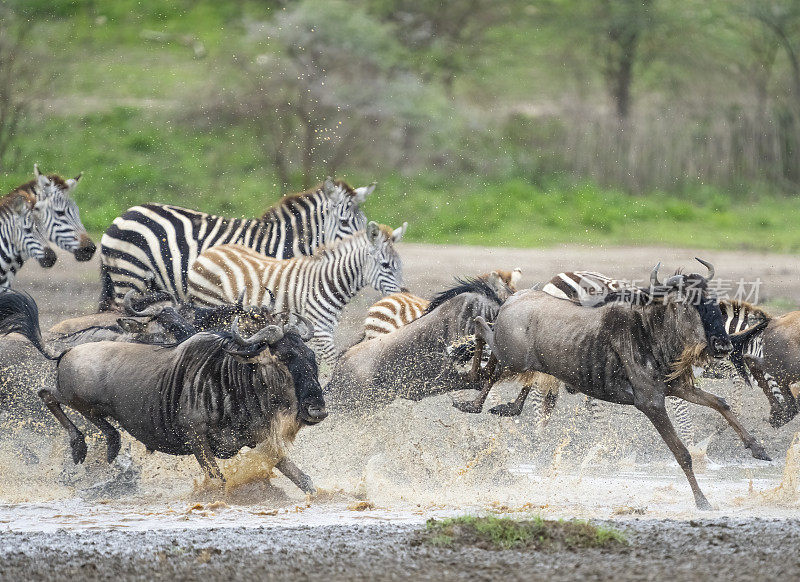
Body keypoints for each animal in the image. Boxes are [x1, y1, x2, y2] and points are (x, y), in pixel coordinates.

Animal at [184, 221, 404, 368]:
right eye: (385, 265)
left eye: (400, 265)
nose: (405, 292)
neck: (326, 282)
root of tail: (209, 252)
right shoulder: (320, 331)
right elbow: (333, 362)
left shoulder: (320, 331)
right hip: (211, 308)